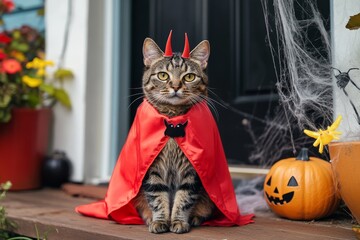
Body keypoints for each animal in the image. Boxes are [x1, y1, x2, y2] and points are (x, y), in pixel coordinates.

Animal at [133, 34, 215, 233]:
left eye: (189, 77)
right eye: (163, 75)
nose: (176, 86)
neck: (173, 122)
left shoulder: (191, 172)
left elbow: (184, 198)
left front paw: (178, 221)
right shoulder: (152, 170)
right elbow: (157, 197)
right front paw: (160, 221)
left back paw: (195, 218)